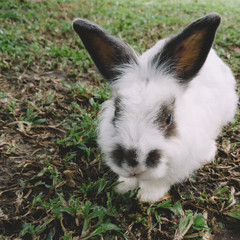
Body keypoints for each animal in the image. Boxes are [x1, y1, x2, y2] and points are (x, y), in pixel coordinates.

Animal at [73, 12, 238, 202]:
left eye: (168, 118)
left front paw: (147, 196)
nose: (134, 164)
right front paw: (124, 187)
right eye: (116, 112)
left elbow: (160, 181)